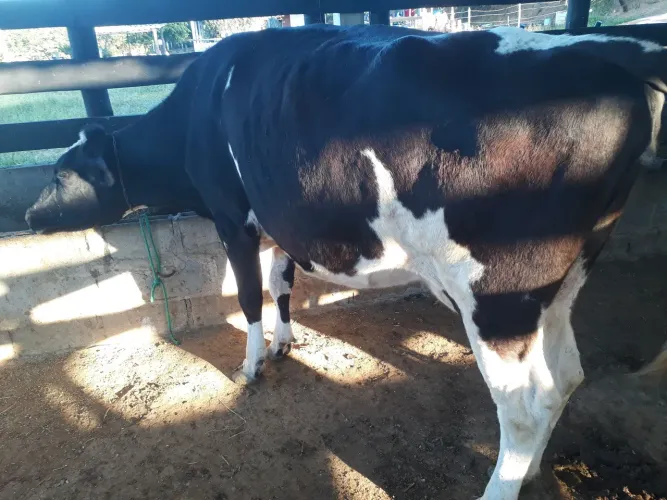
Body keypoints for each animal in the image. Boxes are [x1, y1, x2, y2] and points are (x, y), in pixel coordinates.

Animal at [24, 24, 667, 499]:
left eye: (59, 173)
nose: (29, 216)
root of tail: (609, 62)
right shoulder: (279, 223)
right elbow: (282, 283)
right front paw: (285, 343)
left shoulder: (234, 217)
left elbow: (249, 295)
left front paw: (251, 366)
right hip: (562, 283)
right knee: (565, 377)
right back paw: (528, 471)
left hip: (499, 295)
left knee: (525, 404)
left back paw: (499, 487)